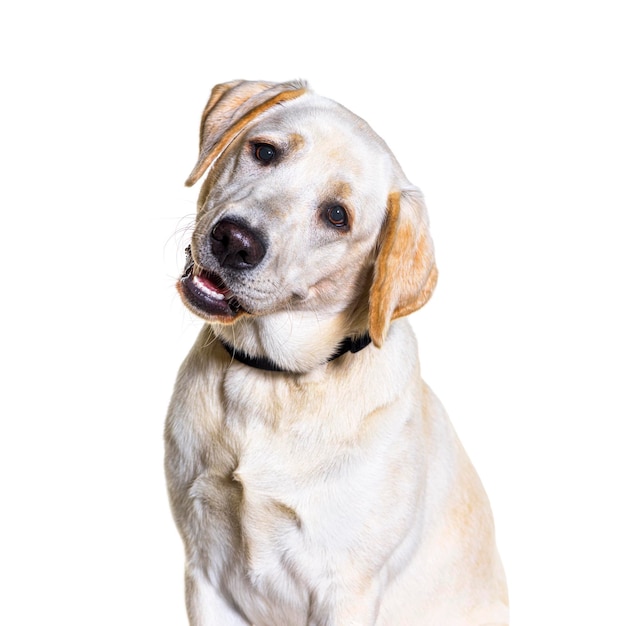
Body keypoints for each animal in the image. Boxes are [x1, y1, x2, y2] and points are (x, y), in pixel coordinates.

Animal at [167, 80, 512, 620]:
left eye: (336, 216)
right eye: (265, 152)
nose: (235, 241)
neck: (273, 383)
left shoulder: (345, 590)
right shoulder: (203, 572)